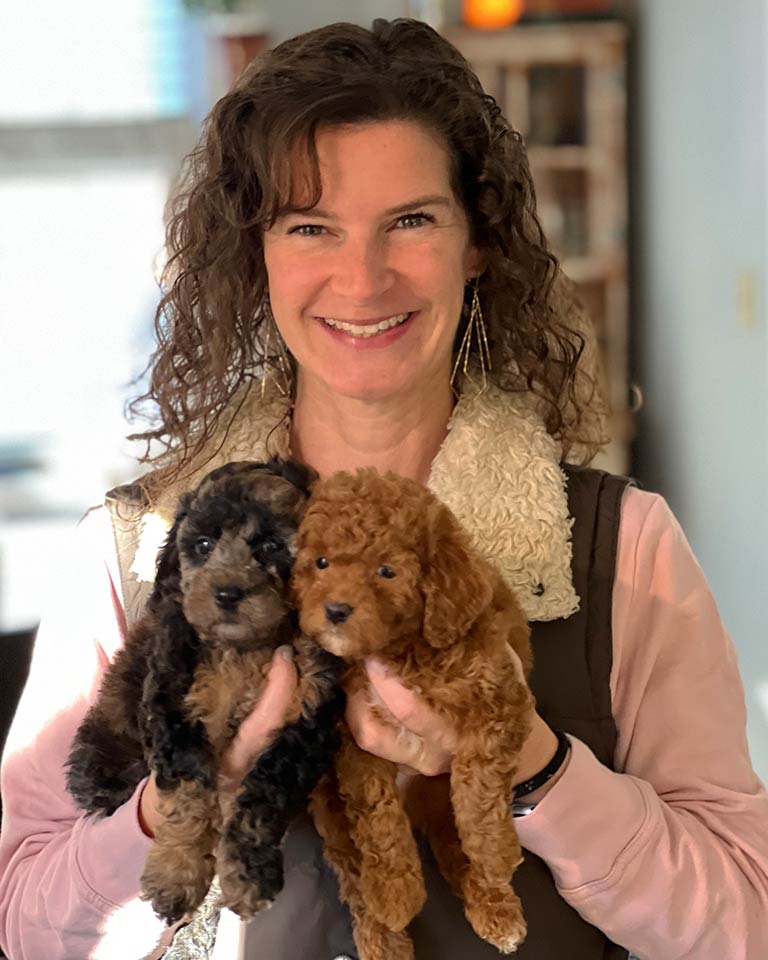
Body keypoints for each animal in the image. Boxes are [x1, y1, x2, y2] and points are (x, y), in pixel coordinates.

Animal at [294, 472, 536, 960]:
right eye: (322, 562)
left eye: (387, 572)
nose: (335, 610)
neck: (402, 650)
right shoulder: (356, 739)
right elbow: (379, 820)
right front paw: (395, 895)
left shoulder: (495, 703)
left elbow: (479, 802)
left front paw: (496, 857)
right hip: (331, 812)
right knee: (355, 875)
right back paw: (382, 937)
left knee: (454, 839)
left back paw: (494, 905)